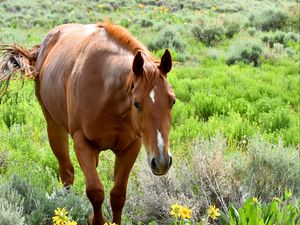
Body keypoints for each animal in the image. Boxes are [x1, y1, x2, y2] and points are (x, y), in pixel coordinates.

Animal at [0, 20, 176, 224]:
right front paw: (95, 218)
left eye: (172, 101)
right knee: (67, 173)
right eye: (137, 103)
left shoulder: (131, 146)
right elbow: (95, 191)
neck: (108, 93)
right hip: (54, 126)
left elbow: (118, 194)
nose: (162, 162)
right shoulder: (82, 142)